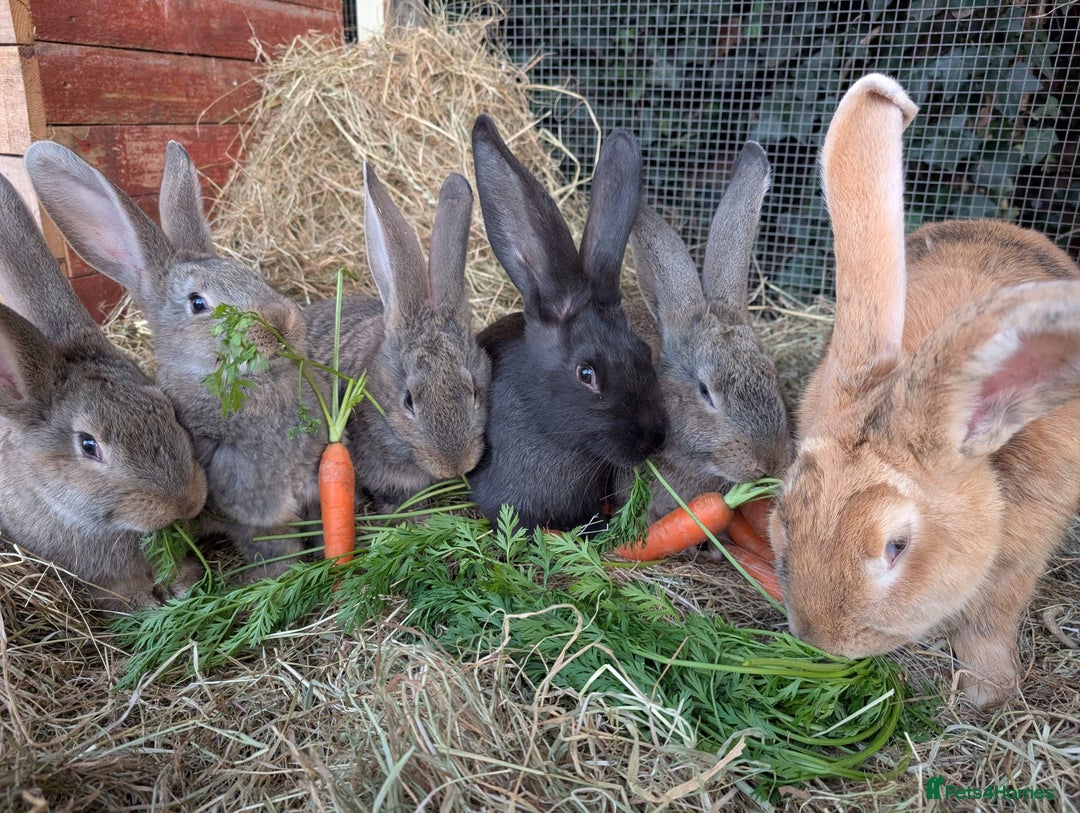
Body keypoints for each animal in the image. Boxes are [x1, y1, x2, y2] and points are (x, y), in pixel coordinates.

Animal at [769, 73, 1080, 709]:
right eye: (785, 509)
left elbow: (989, 620)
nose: (820, 640)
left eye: (896, 546)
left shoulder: (1018, 562)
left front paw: (988, 692)